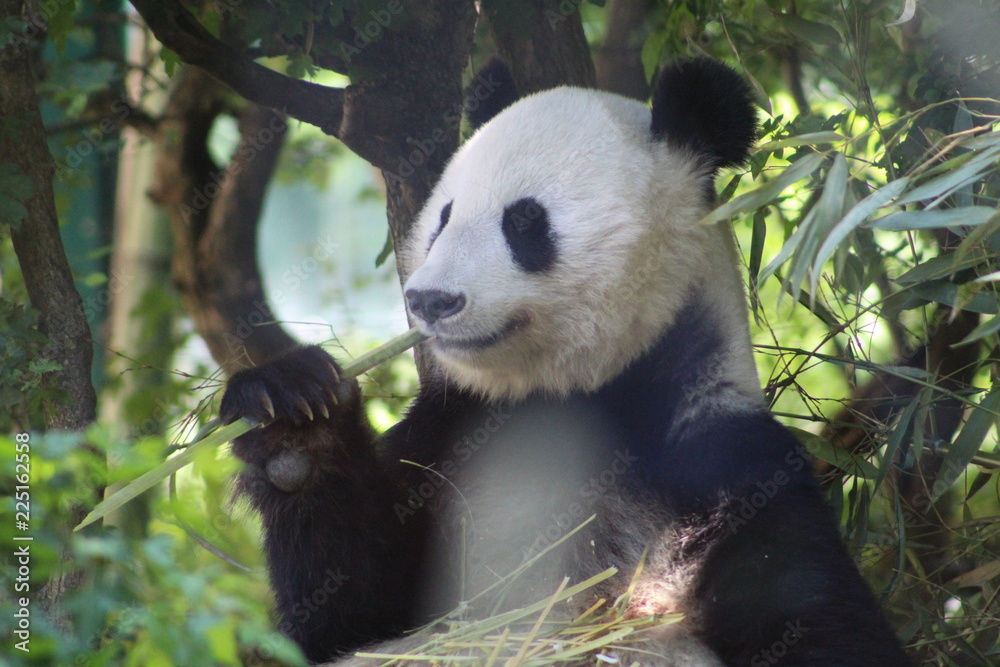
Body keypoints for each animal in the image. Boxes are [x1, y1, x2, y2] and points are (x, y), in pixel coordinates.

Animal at [220, 58, 912, 666]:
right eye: (443, 218)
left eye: (525, 221)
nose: (429, 299)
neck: (576, 394)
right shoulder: (452, 438)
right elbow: (348, 615)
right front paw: (291, 420)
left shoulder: (723, 468)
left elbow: (816, 621)